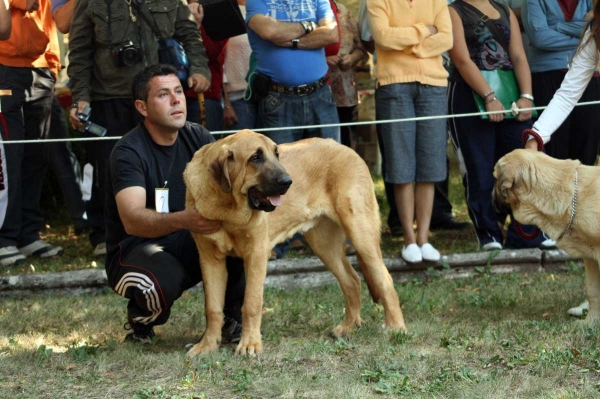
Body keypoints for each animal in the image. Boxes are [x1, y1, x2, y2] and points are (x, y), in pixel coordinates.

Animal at [184, 130, 408, 356]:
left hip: (360, 233)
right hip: (324, 245)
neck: (227, 209)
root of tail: (347, 149)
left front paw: (250, 344)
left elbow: (251, 304)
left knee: (385, 280)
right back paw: (348, 327)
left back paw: (396, 327)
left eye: (276, 154)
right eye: (255, 158)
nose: (287, 181)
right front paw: (207, 345)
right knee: (352, 281)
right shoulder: (210, 259)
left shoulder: (256, 254)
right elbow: (212, 308)